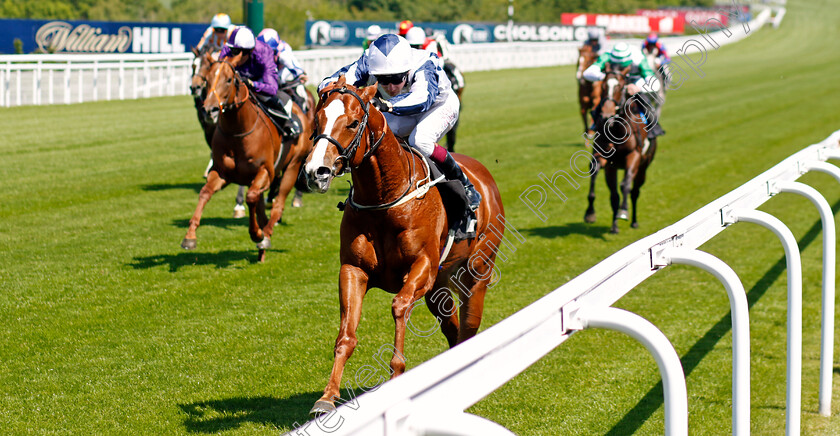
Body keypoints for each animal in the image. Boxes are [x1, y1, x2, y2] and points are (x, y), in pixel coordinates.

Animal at [182, 58, 314, 262]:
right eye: (207, 79)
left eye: (229, 80)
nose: (209, 110)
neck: (238, 131)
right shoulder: (222, 173)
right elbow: (205, 193)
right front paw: (190, 236)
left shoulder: (265, 172)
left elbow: (251, 197)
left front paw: (257, 234)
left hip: (292, 166)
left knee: (278, 206)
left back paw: (265, 236)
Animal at [298, 76, 502, 418]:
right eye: (317, 119)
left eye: (353, 123)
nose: (317, 172)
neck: (383, 199)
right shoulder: (353, 270)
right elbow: (346, 334)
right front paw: (327, 397)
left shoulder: (421, 267)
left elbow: (399, 306)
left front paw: (396, 376)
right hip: (439, 286)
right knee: (452, 326)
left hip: (477, 271)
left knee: (469, 323)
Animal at [584, 64, 656, 233]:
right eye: (603, 86)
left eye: (620, 86)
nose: (606, 115)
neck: (616, 129)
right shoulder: (605, 159)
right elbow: (596, 175)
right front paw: (590, 213)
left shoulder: (634, 156)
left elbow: (625, 185)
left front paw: (624, 211)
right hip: (614, 168)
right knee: (615, 195)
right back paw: (614, 226)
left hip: (643, 166)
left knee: (634, 191)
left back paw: (634, 221)